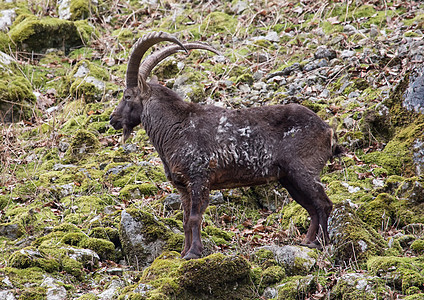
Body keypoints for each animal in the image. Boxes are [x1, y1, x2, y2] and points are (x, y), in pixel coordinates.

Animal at [110, 31, 342, 258]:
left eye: (127, 96)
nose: (113, 119)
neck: (175, 127)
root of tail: (327, 130)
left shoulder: (199, 178)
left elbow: (194, 217)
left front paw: (193, 253)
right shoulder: (183, 186)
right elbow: (185, 221)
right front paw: (183, 252)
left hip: (304, 171)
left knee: (323, 204)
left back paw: (320, 243)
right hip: (289, 179)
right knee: (312, 208)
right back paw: (307, 242)